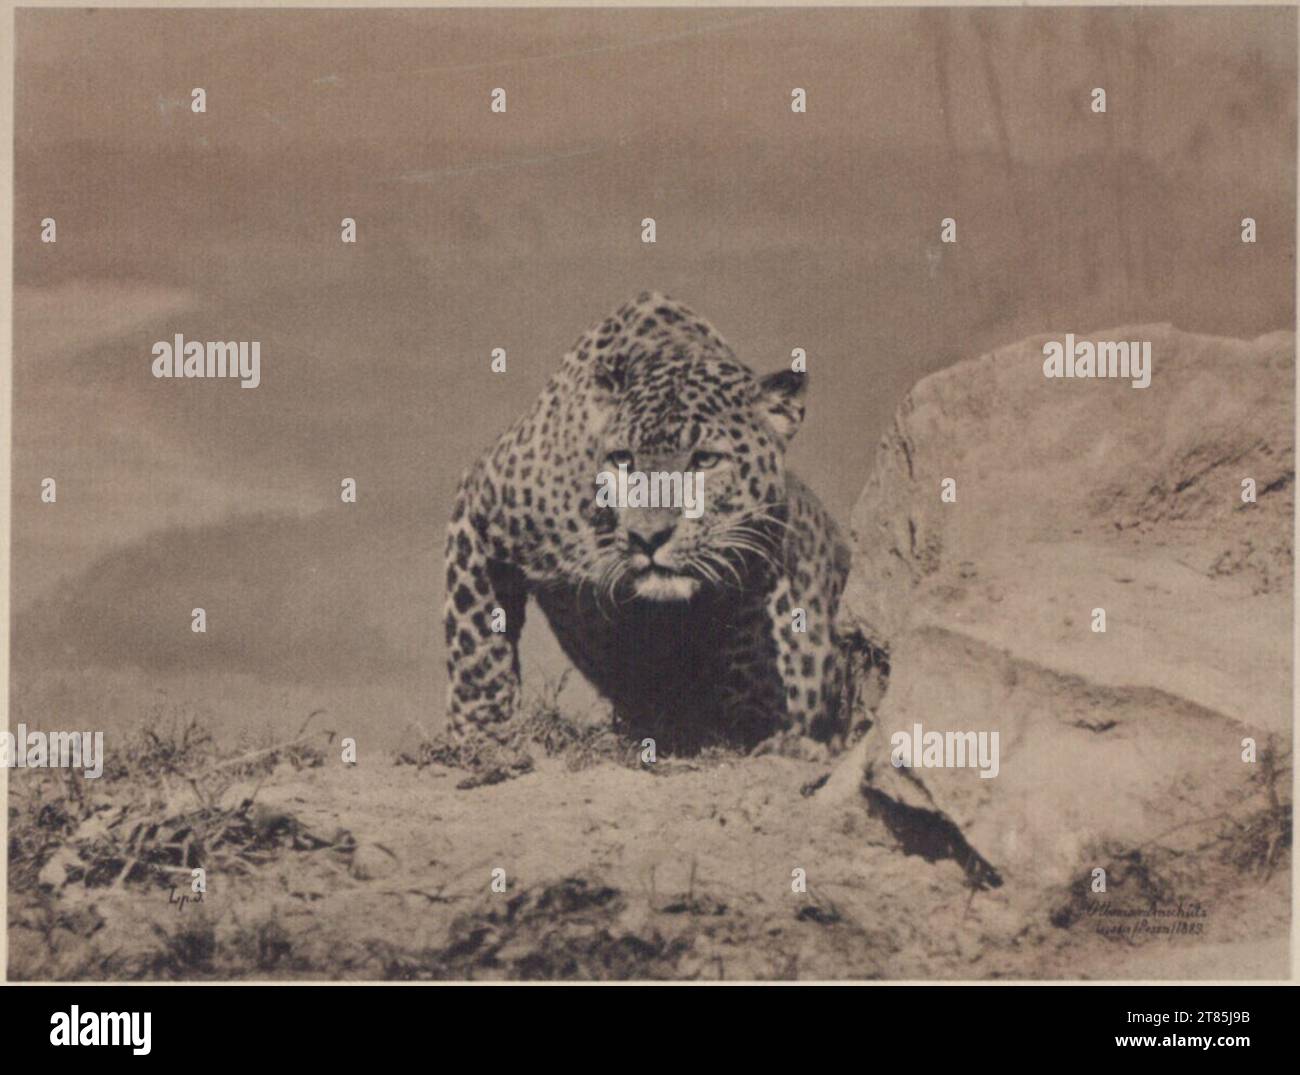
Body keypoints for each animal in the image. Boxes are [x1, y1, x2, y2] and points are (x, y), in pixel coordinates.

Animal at [443, 291, 851, 754]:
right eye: (622, 459)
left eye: (705, 460)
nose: (648, 537)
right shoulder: (480, 504)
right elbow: (476, 641)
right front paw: (480, 733)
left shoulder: (761, 554)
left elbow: (753, 649)